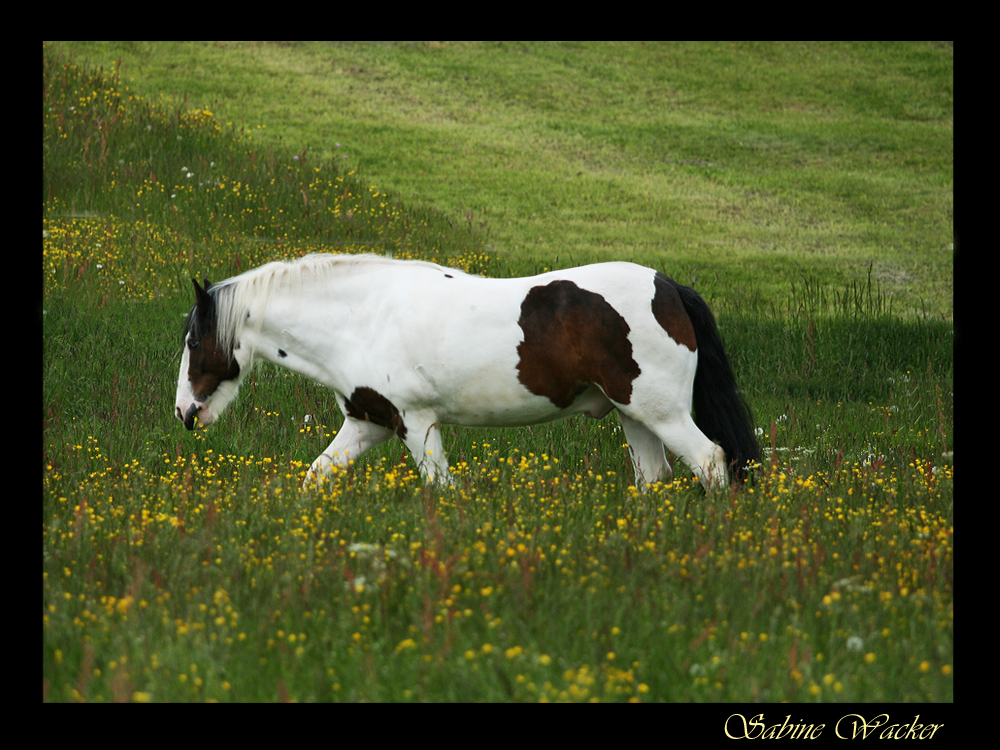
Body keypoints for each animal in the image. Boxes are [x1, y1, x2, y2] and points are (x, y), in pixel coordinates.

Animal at [174, 256, 756, 494]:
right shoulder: (368, 424)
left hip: (662, 413)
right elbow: (314, 478)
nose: (185, 412)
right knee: (654, 479)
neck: (362, 317)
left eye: (194, 341)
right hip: (634, 415)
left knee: (710, 462)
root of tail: (670, 287)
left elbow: (443, 491)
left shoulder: (416, 424)